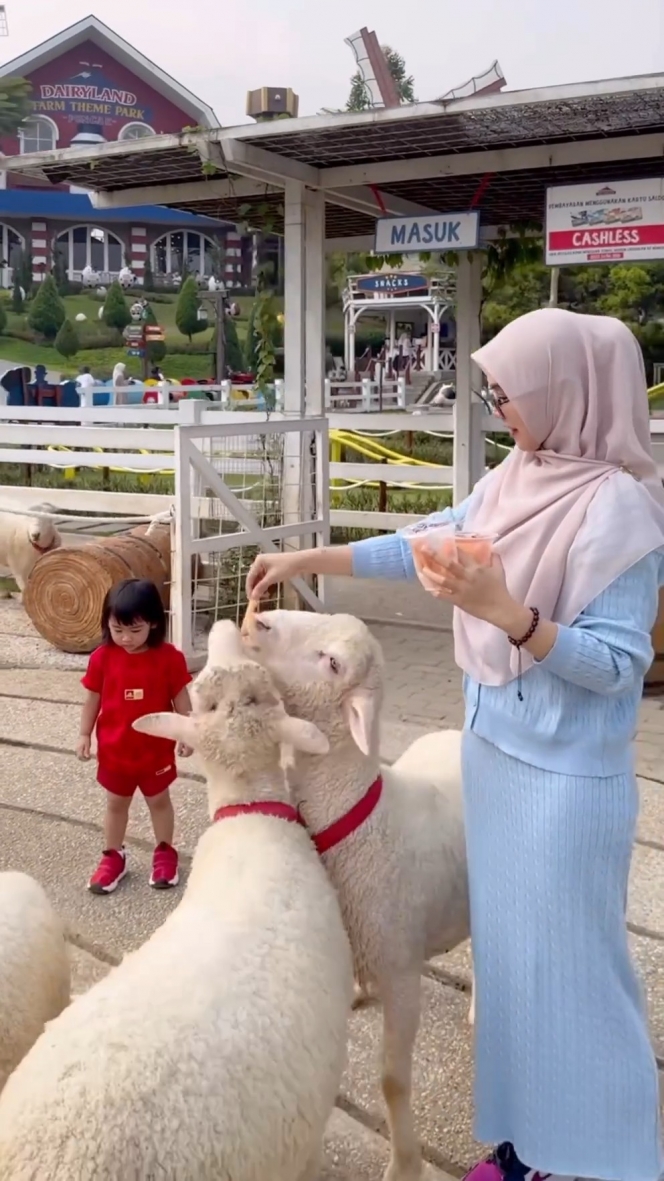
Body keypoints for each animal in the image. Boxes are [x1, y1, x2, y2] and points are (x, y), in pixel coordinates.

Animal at [242, 609, 465, 1181]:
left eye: (333, 663)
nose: (258, 621)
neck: (365, 817)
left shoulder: (403, 970)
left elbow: (393, 1081)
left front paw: (405, 1164)